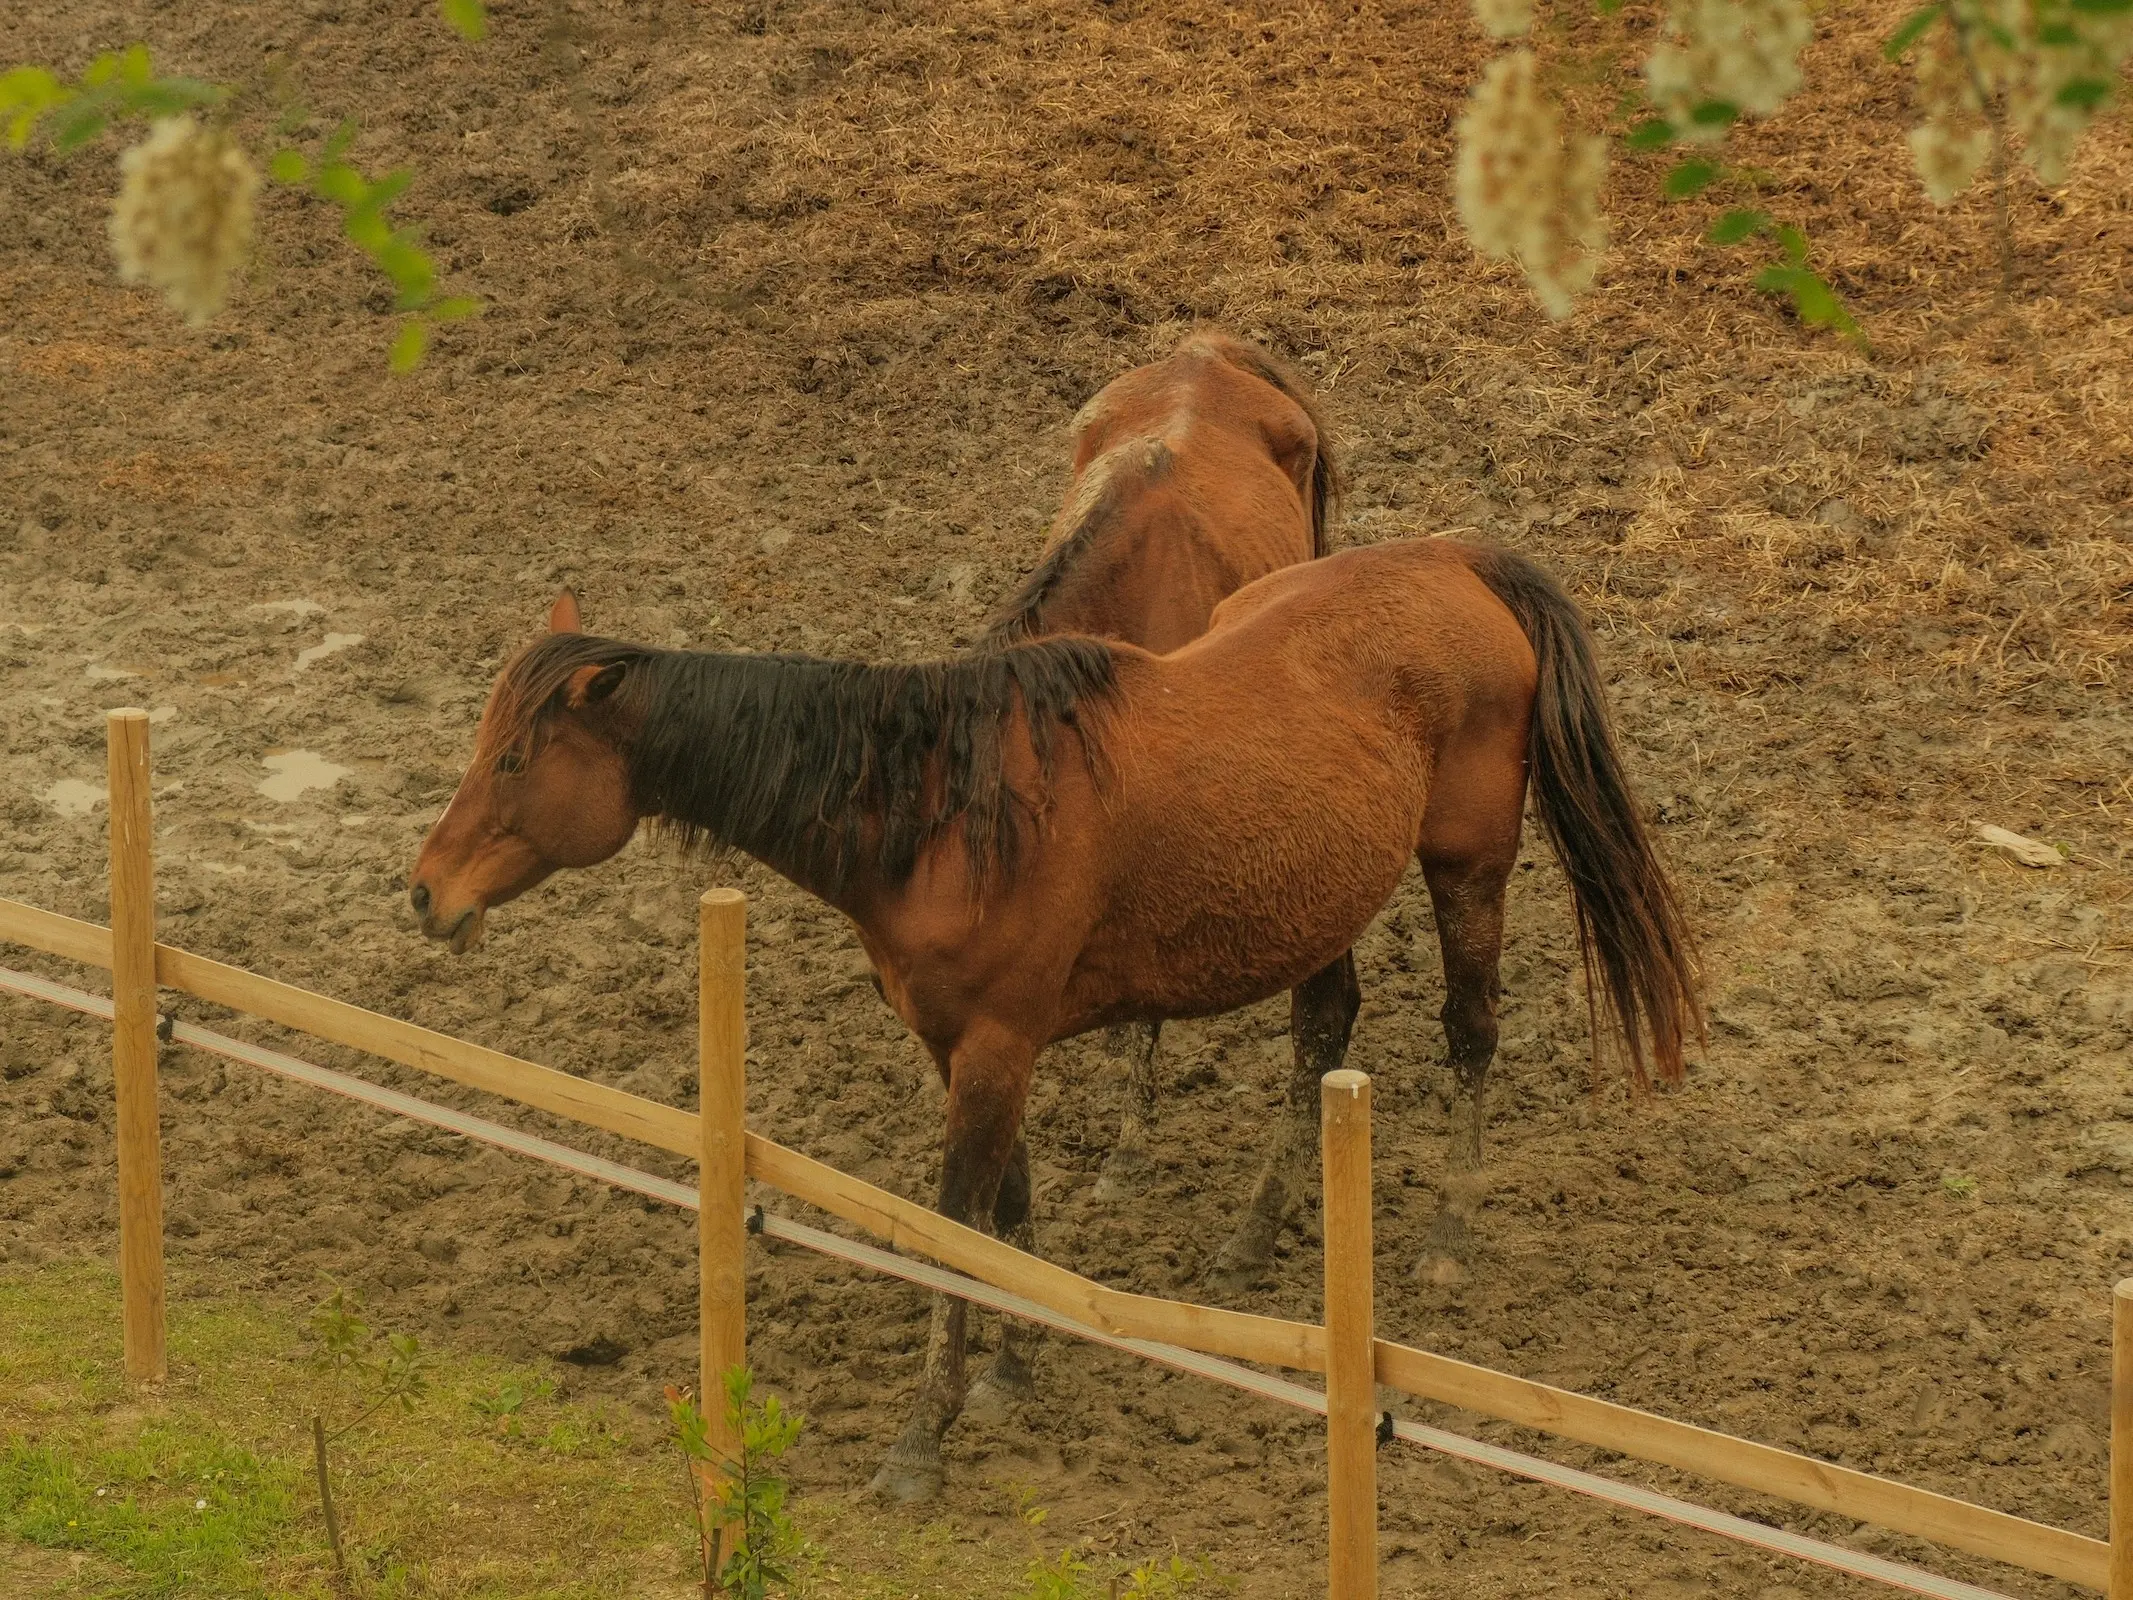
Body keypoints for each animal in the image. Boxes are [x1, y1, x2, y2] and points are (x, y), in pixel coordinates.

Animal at [401, 535, 1697, 1501]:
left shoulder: (996, 1051)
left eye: (514, 759)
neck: (942, 812)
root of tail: (1453, 558)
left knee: (1470, 1032)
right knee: (1325, 1033)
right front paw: (1011, 1371)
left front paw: (919, 1442)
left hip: (1467, 867)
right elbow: (1008, 1215)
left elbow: (957, 1222)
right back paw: (1254, 1230)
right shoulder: (968, 1049)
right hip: (1319, 904)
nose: (425, 892)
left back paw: (1447, 1232)